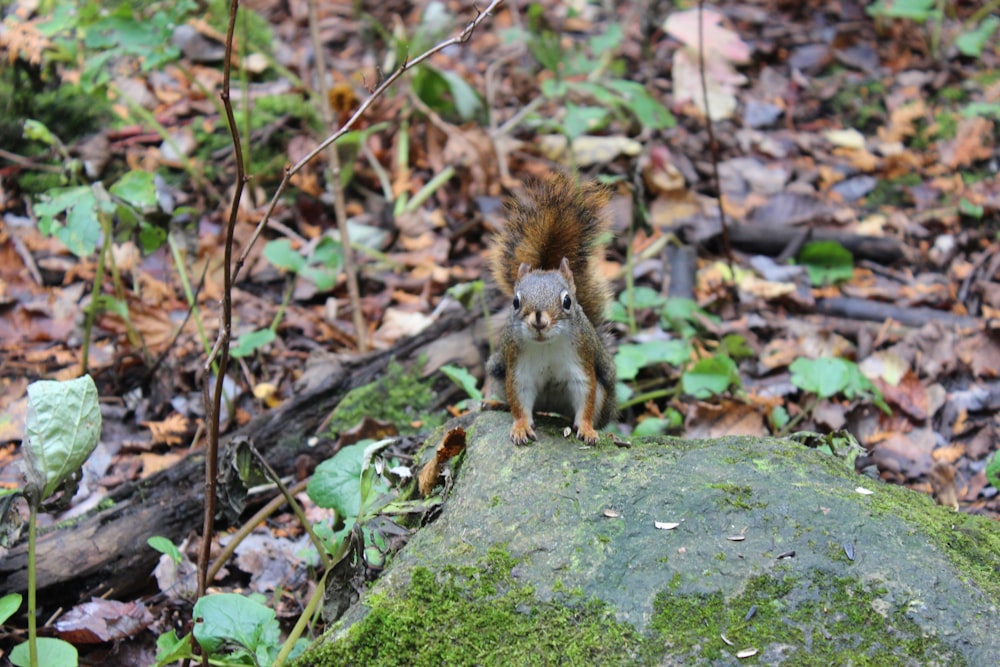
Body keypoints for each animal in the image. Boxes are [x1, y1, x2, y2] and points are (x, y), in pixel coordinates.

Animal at [486, 175, 616, 446]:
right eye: (515, 302)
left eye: (567, 301)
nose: (538, 320)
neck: (546, 346)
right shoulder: (517, 369)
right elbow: (519, 401)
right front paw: (521, 427)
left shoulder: (582, 364)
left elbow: (585, 397)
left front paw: (587, 429)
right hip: (497, 374)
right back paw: (494, 404)